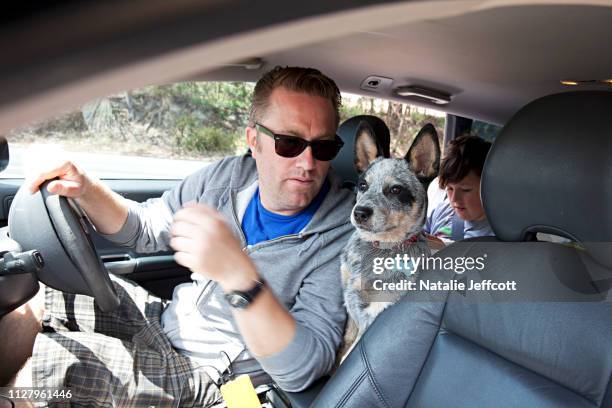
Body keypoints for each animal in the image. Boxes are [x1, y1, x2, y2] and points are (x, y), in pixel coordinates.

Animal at [340, 121, 440, 360]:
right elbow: (345, 341)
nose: (359, 212)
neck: (380, 248)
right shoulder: (348, 297)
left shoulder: (373, 314)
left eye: (395, 189)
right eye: (362, 185)